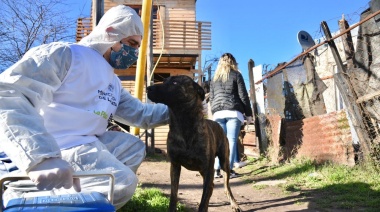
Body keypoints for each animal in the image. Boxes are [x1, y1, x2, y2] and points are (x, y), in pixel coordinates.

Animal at [148, 75, 240, 211]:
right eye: (164, 81)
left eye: (175, 82)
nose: (148, 88)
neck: (183, 124)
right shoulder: (175, 166)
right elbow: (173, 196)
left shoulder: (208, 169)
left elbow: (203, 201)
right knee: (212, 187)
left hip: (224, 164)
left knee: (225, 187)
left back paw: (234, 204)